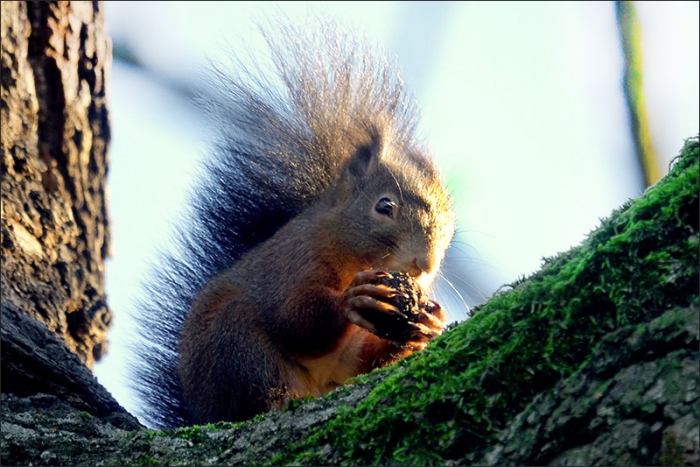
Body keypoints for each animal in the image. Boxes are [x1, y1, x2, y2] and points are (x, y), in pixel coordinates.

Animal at [129, 21, 455, 429]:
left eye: (450, 232)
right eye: (384, 206)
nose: (423, 264)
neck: (341, 250)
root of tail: (202, 413)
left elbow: (367, 361)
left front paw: (429, 322)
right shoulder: (295, 261)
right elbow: (296, 320)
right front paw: (352, 299)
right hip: (233, 341)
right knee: (255, 388)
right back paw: (280, 400)